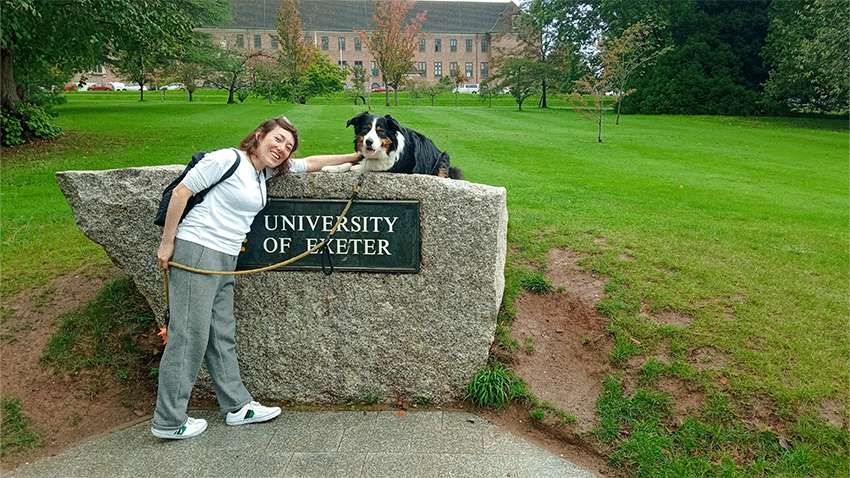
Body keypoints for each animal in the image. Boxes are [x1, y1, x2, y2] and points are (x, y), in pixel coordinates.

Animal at [320, 113, 464, 180]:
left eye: (380, 131)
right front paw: (332, 168)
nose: (369, 142)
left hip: (444, 157)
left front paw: (358, 167)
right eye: (365, 129)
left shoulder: (403, 166)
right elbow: (349, 162)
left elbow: (374, 165)